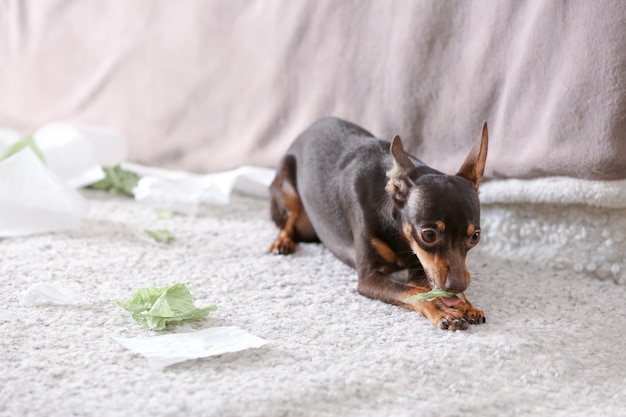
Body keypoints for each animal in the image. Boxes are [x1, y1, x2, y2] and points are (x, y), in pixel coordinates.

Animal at [268, 116, 488, 328]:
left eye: (475, 237)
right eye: (429, 235)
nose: (458, 285)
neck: (400, 236)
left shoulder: (421, 267)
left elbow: (427, 286)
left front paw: (465, 304)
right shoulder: (368, 278)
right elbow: (413, 291)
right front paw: (443, 310)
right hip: (288, 192)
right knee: (287, 223)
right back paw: (282, 242)